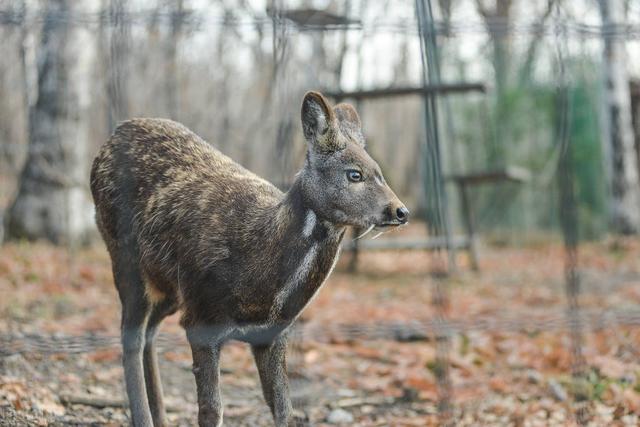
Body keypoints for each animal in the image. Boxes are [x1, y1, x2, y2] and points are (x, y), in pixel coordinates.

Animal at [89, 92, 408, 426]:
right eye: (354, 173)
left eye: (379, 172)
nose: (400, 211)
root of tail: (111, 138)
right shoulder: (201, 322)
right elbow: (212, 410)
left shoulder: (272, 333)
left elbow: (284, 409)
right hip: (123, 256)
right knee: (132, 337)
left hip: (169, 288)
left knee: (150, 332)